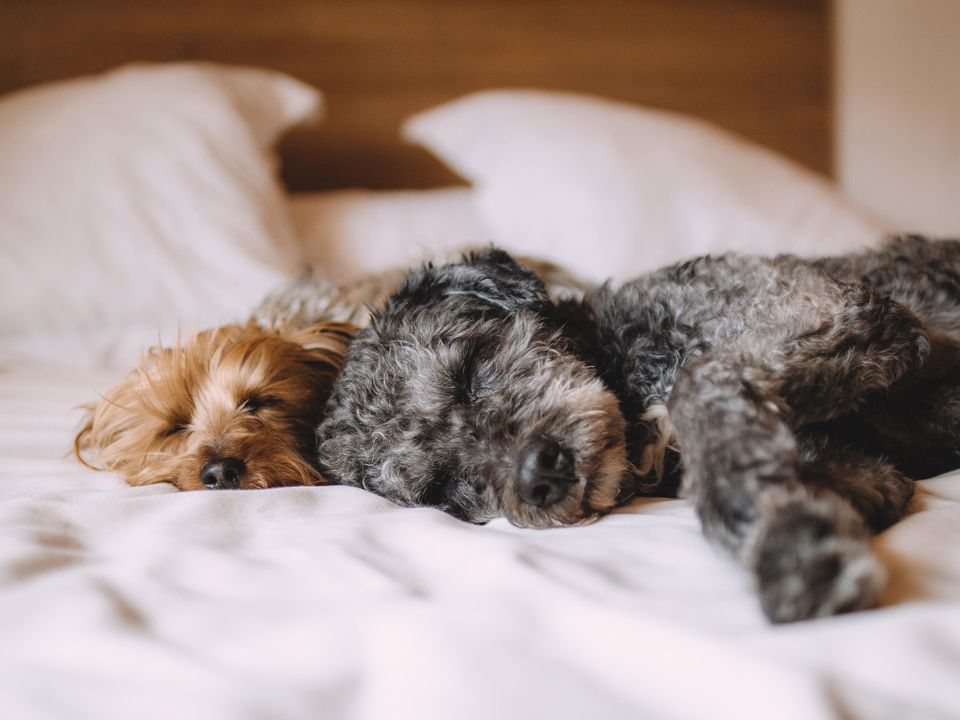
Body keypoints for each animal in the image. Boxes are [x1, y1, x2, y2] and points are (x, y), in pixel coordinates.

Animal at [318, 239, 960, 620]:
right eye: (444, 489)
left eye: (470, 370)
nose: (539, 475)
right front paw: (786, 515)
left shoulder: (840, 308)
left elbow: (698, 383)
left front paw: (788, 547)